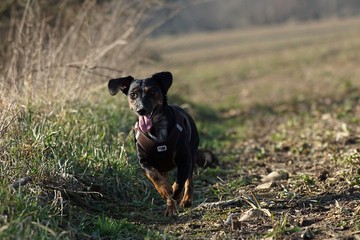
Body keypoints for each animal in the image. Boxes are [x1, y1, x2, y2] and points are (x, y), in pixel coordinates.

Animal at [109, 71, 200, 216]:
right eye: (132, 94)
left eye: (152, 92)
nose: (141, 110)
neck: (156, 127)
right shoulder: (144, 162)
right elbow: (155, 177)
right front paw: (165, 191)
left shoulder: (184, 160)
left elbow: (180, 181)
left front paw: (176, 193)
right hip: (163, 167)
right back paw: (170, 208)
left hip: (192, 151)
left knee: (189, 179)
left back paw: (186, 200)